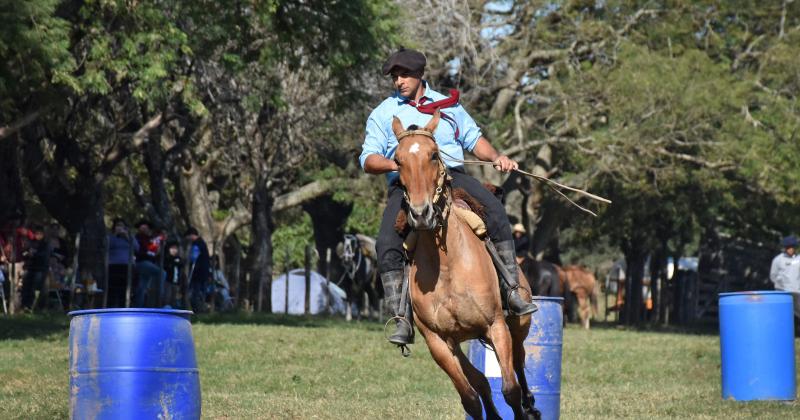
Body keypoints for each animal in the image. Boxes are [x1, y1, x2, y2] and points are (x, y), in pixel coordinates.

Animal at [392, 112, 536, 420]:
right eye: (397, 160)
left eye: (434, 155)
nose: (421, 214)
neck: (447, 267)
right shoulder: (439, 341)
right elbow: (470, 395)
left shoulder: (496, 325)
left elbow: (510, 389)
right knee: (481, 382)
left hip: (518, 324)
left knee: (519, 362)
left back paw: (532, 405)